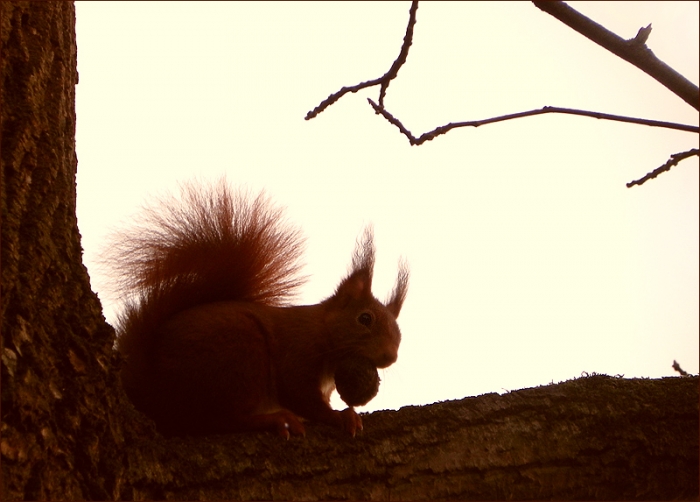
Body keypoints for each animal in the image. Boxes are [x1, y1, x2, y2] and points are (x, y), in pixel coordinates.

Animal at [106, 179, 409, 438]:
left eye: (399, 334)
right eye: (365, 318)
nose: (390, 356)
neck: (323, 330)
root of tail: (152, 391)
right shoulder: (298, 352)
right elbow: (300, 396)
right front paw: (340, 416)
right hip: (241, 356)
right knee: (219, 420)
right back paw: (272, 420)